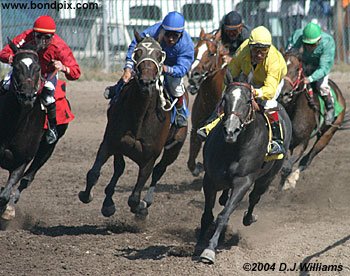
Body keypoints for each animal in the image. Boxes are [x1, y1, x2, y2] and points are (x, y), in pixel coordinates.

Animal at [78, 31, 189, 218]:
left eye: (159, 55)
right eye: (137, 52)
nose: (146, 82)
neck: (140, 116)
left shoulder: (149, 157)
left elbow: (134, 197)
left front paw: (140, 207)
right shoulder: (111, 142)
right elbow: (94, 173)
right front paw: (92, 197)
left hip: (174, 148)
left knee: (159, 170)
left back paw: (147, 201)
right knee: (119, 168)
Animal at [187, 28, 228, 177]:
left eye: (211, 53)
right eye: (194, 51)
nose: (193, 75)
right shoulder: (195, 129)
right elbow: (191, 162)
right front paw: (198, 168)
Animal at [197, 82, 292, 264]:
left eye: (248, 101)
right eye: (224, 99)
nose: (230, 131)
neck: (234, 147)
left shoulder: (243, 181)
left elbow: (223, 215)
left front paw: (209, 249)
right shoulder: (210, 179)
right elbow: (207, 215)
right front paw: (199, 242)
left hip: (267, 177)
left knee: (255, 197)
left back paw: (249, 218)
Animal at [278, 50, 348, 189]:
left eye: (297, 69)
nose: (284, 94)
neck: (293, 110)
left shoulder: (302, 142)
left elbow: (288, 166)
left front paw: (287, 183)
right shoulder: (287, 141)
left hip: (328, 133)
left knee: (308, 159)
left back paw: (293, 177)